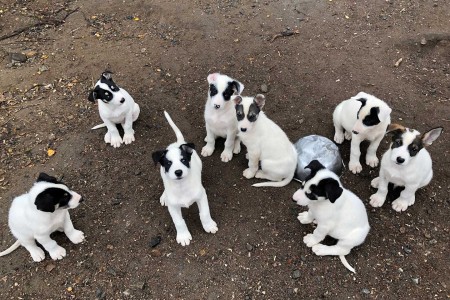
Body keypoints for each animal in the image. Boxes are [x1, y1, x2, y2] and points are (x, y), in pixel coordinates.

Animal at [152, 111, 219, 245]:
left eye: (183, 160)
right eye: (168, 163)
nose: (178, 172)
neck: (182, 186)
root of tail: (178, 142)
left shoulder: (201, 196)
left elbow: (204, 213)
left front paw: (209, 226)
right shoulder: (173, 207)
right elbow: (179, 222)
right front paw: (183, 236)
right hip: (162, 174)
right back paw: (164, 196)